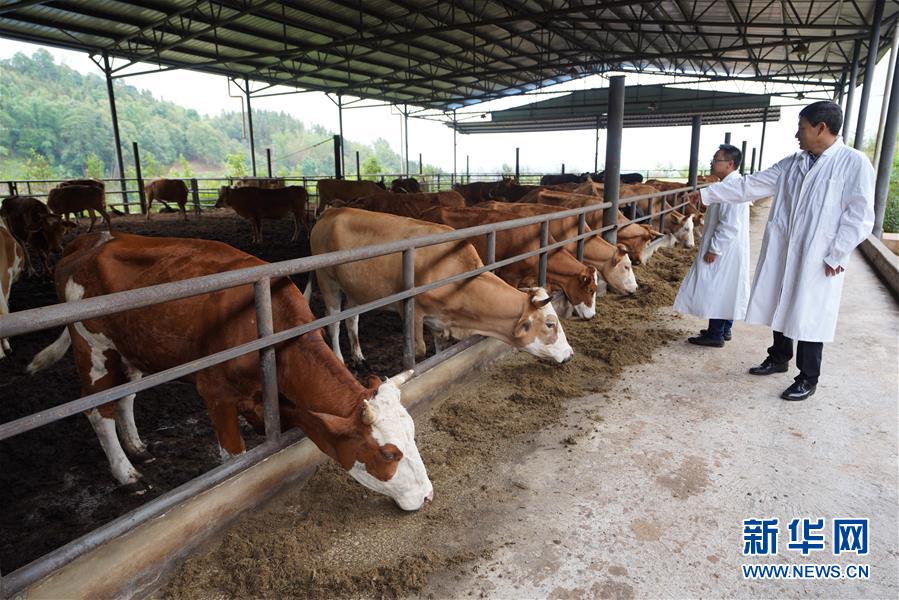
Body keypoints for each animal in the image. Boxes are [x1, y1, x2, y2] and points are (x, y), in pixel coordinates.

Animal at [26, 232, 434, 508]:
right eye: (388, 455)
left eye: (413, 434)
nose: (428, 495)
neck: (268, 334)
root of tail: (88, 241)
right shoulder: (216, 394)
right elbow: (234, 460)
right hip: (93, 348)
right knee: (98, 410)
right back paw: (127, 474)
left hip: (133, 350)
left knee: (126, 397)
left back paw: (138, 449)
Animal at [310, 206, 576, 366]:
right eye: (550, 324)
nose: (570, 353)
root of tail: (331, 211)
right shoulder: (412, 312)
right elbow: (418, 351)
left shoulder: (439, 322)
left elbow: (439, 351)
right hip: (327, 281)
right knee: (333, 323)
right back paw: (340, 359)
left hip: (354, 289)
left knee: (352, 319)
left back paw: (358, 355)